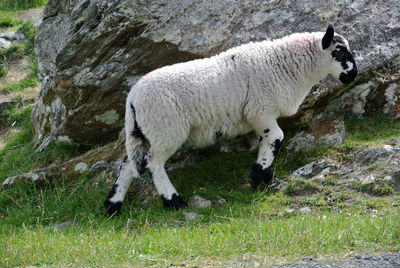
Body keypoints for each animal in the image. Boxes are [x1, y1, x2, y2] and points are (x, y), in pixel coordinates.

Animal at [103, 24, 356, 215]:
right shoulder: (259, 110)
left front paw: (265, 175)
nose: (353, 75)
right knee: (154, 165)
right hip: (165, 129)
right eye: (340, 53)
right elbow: (276, 138)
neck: (286, 64)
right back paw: (174, 201)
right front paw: (257, 176)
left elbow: (269, 141)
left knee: (128, 165)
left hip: (143, 132)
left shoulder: (261, 114)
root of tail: (133, 99)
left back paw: (113, 206)